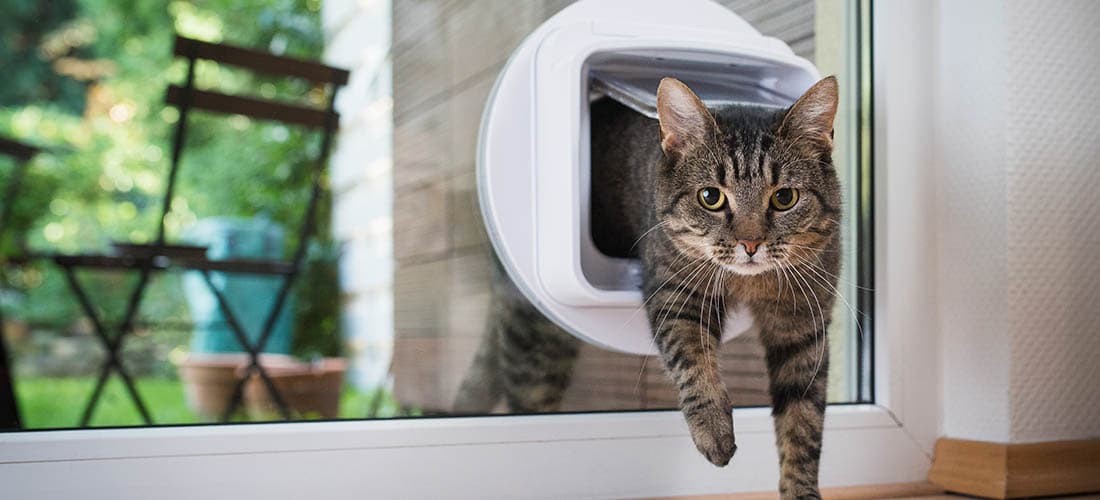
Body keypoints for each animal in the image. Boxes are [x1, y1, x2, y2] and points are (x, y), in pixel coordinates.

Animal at [455, 76, 840, 498]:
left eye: (784, 197)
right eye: (711, 197)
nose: (750, 243)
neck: (747, 284)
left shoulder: (803, 326)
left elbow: (802, 422)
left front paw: (801, 490)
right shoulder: (675, 294)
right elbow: (692, 362)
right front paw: (714, 430)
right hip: (535, 345)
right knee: (526, 400)